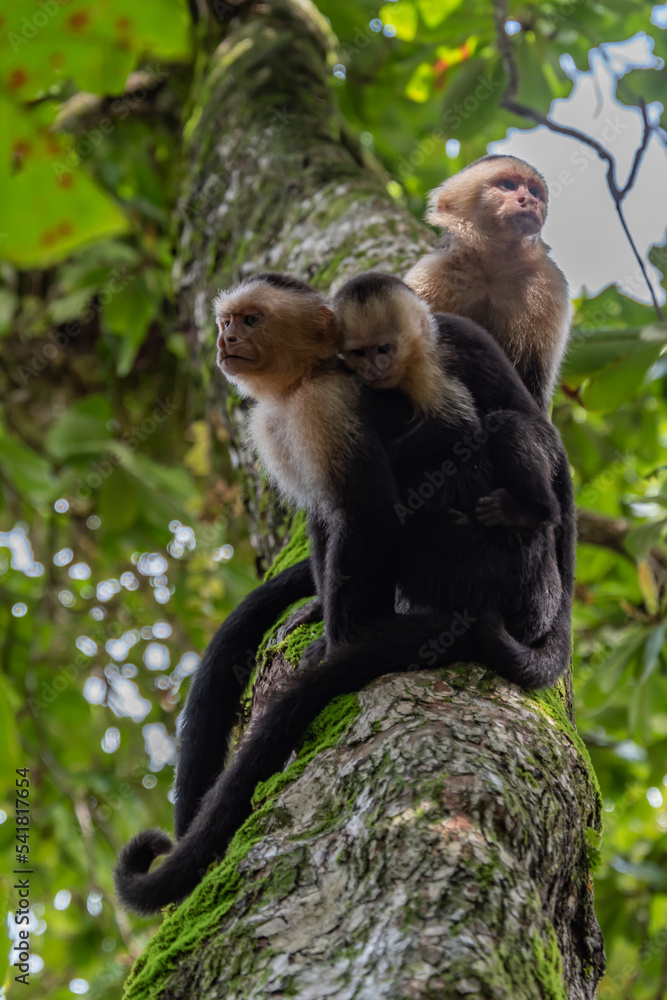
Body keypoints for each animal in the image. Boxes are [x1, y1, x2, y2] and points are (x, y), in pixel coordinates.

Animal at [115, 272, 573, 914]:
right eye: (228, 320)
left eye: (250, 320)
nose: (226, 338)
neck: (299, 382)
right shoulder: (276, 425)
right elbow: (322, 520)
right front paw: (316, 607)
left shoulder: (327, 405)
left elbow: (370, 520)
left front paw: (338, 648)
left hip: (493, 561)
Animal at [404, 154, 572, 412]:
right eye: (508, 186)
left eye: (534, 191)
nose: (529, 200)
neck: (491, 270)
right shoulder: (427, 276)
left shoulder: (548, 283)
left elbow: (535, 382)